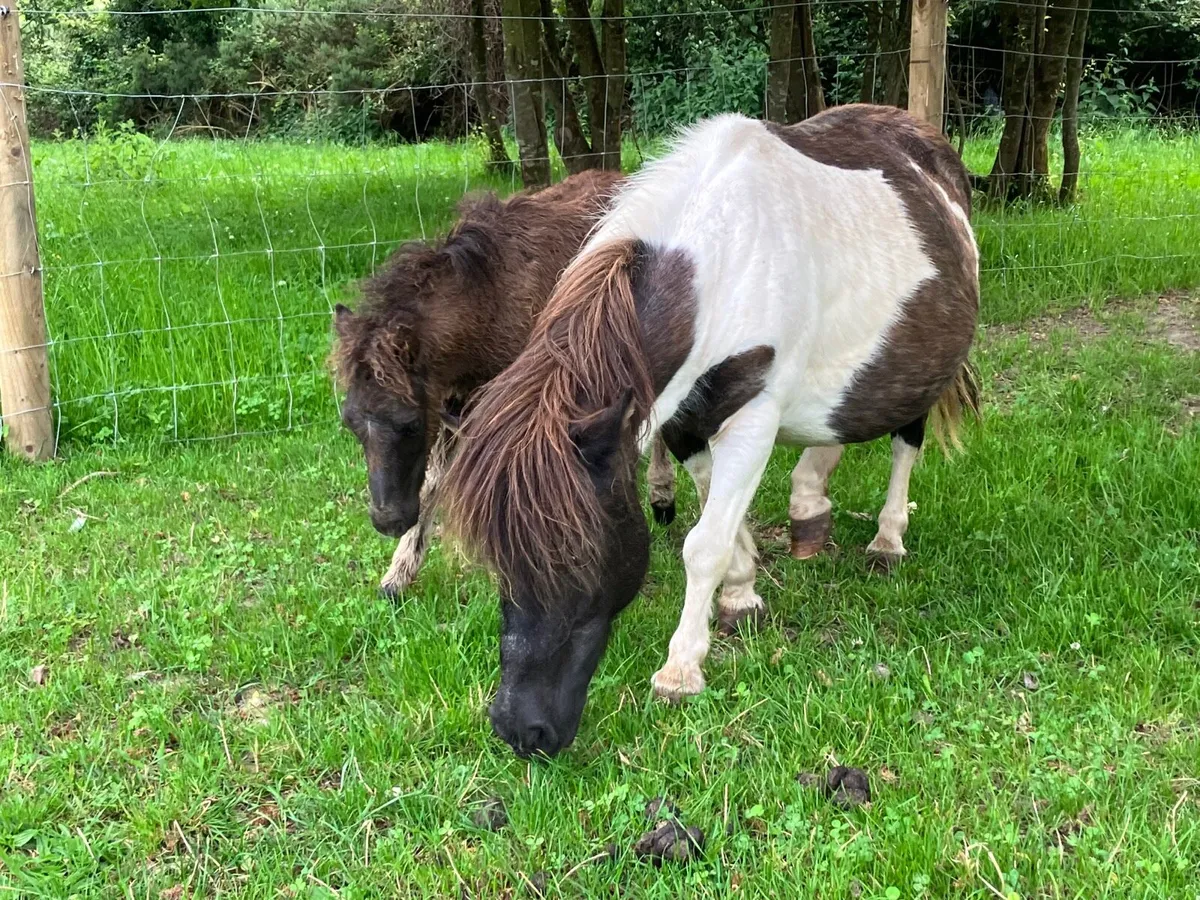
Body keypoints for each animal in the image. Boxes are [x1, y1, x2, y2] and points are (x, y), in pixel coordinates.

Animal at [331, 169, 680, 596]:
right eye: (350, 421)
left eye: (409, 423)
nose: (388, 521)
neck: (486, 307)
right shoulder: (454, 403)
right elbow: (434, 482)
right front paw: (397, 576)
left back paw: (662, 496)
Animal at [442, 104, 980, 758]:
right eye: (498, 562)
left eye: (577, 553)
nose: (521, 730)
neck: (721, 263)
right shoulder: (683, 421)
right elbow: (718, 519)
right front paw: (742, 592)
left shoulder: (754, 419)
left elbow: (703, 545)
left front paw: (681, 669)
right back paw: (810, 506)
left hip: (920, 369)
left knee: (907, 442)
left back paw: (887, 539)